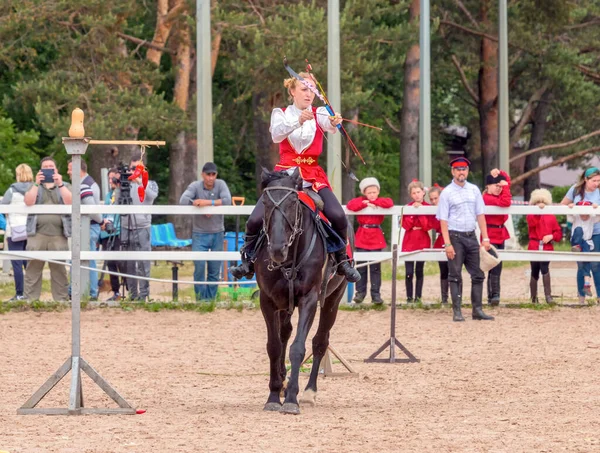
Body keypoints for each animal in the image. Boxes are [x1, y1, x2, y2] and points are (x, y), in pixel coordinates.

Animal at [256, 167, 350, 414]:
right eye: (265, 204)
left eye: (292, 203)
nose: (277, 249)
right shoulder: (268, 301)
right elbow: (274, 346)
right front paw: (274, 395)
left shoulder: (309, 299)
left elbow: (298, 348)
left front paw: (291, 398)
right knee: (285, 333)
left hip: (333, 299)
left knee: (320, 342)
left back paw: (308, 392)